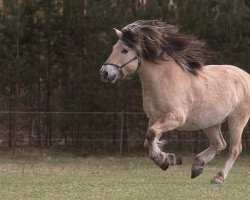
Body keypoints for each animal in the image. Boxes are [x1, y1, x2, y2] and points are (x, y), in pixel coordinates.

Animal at [99, 19, 250, 183]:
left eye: (124, 50)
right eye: (114, 48)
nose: (105, 73)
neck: (164, 80)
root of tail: (246, 76)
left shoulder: (175, 118)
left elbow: (151, 134)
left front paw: (163, 160)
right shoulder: (154, 118)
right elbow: (147, 141)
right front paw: (170, 159)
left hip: (237, 119)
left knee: (234, 148)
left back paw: (218, 177)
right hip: (210, 122)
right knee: (219, 144)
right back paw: (197, 166)